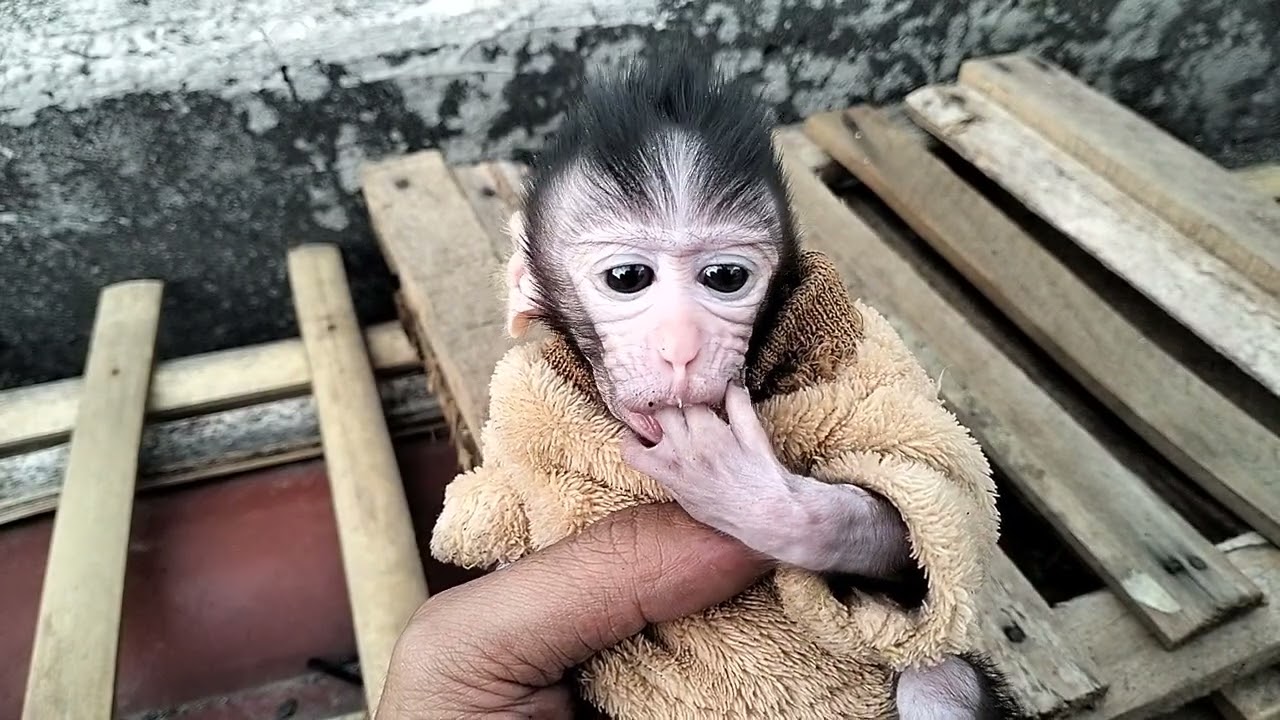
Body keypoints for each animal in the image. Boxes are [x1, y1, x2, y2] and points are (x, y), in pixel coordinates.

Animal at [433, 44, 1018, 719]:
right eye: (628, 278)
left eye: (725, 277)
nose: (681, 347)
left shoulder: (864, 368)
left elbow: (938, 501)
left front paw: (741, 490)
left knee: (940, 682)